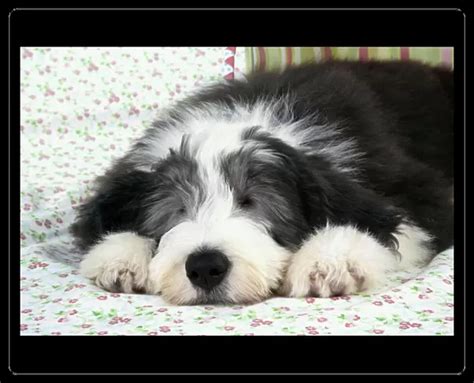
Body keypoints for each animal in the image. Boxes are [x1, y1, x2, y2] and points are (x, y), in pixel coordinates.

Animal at [68, 60, 454, 306]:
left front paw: (330, 260)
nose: (205, 267)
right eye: (176, 209)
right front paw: (119, 254)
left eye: (252, 200)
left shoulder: (419, 190)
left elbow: (389, 223)